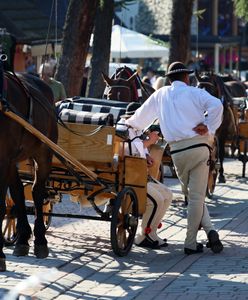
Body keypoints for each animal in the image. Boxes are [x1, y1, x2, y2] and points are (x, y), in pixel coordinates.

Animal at [0, 71, 57, 272]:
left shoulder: (3, 159)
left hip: (44, 154)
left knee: (37, 192)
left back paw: (40, 241)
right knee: (18, 192)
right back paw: (23, 238)